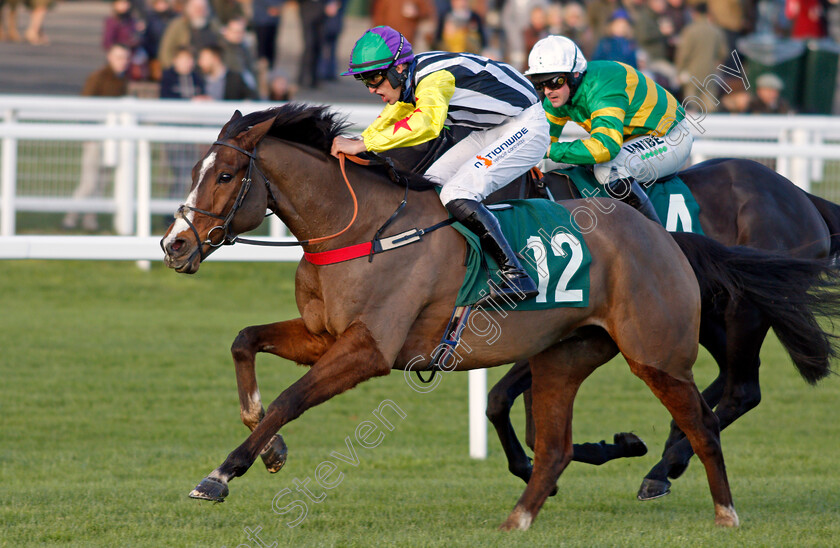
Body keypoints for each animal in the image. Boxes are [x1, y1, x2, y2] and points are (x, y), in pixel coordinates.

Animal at [480, 158, 840, 500]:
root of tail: (801, 196)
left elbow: (504, 403)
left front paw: (619, 447)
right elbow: (519, 418)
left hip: (745, 308)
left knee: (742, 391)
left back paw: (663, 467)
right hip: (698, 311)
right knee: (723, 374)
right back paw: (674, 450)